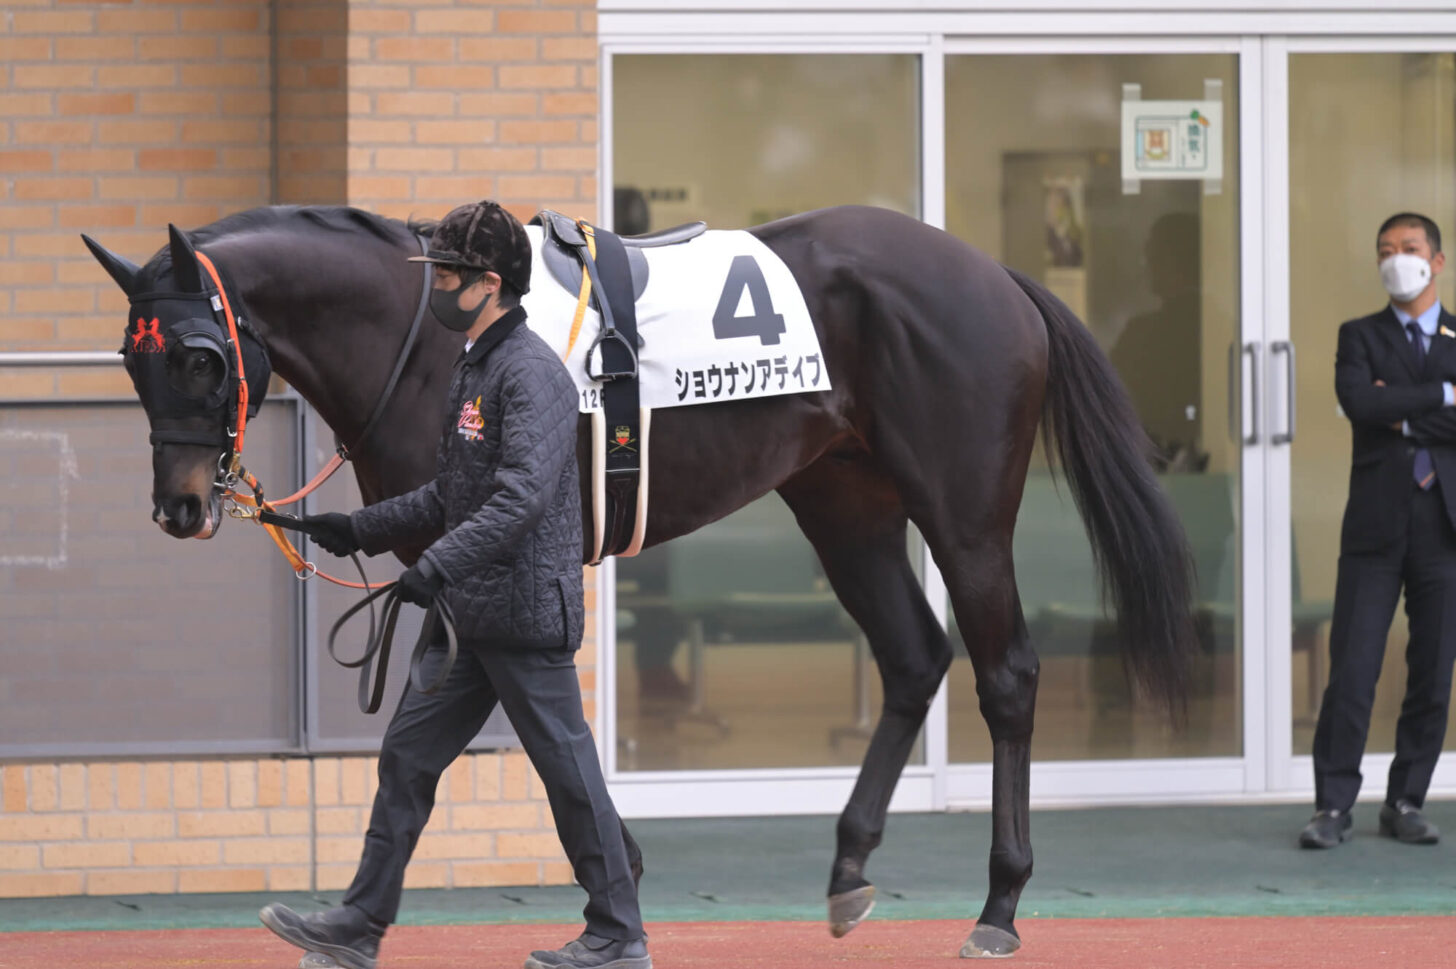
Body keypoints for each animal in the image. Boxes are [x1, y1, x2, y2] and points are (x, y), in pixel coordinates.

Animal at [82, 202, 1193, 948]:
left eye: (197, 356)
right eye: (132, 360)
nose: (182, 506)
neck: (428, 333)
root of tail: (997, 276)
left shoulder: (482, 546)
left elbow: (513, 726)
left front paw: (616, 872)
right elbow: (473, 732)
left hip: (963, 513)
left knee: (1005, 674)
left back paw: (1000, 903)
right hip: (846, 500)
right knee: (915, 656)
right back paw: (848, 867)